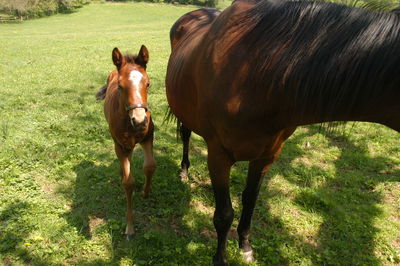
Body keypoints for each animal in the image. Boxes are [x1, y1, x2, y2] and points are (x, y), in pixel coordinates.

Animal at [96, 45, 156, 239]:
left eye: (148, 83)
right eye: (120, 87)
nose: (139, 121)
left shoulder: (148, 138)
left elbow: (150, 166)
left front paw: (146, 191)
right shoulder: (121, 147)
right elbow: (129, 183)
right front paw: (129, 227)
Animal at [166, 1, 400, 264]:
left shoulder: (268, 155)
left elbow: (250, 199)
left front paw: (245, 246)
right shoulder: (219, 155)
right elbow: (224, 214)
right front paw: (220, 259)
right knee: (186, 134)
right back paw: (184, 170)